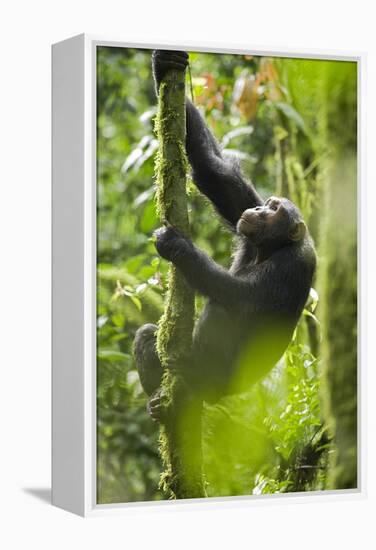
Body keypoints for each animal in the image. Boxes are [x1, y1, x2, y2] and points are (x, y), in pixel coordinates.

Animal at [134, 51, 316, 422]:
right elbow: (214, 171)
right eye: (268, 203)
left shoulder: (293, 265)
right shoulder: (243, 219)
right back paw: (160, 400)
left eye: (275, 210)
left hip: (217, 381)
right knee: (147, 335)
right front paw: (164, 62)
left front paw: (178, 246)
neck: (271, 246)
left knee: (223, 307)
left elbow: (241, 297)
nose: (259, 209)